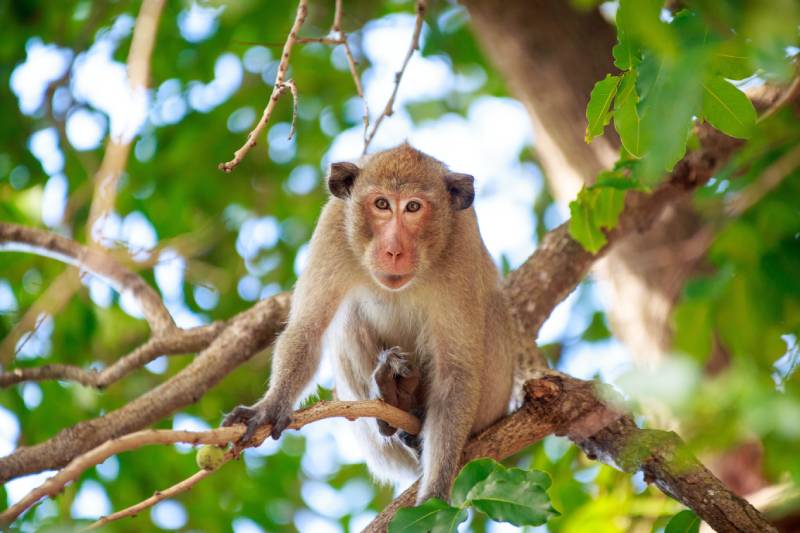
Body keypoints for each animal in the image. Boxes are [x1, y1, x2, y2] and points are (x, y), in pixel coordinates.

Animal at [222, 142, 540, 502]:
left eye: (413, 207)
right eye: (381, 204)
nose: (393, 250)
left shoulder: (463, 244)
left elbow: (456, 372)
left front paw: (435, 492)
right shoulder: (334, 226)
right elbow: (307, 328)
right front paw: (270, 406)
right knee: (347, 316)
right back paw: (394, 400)